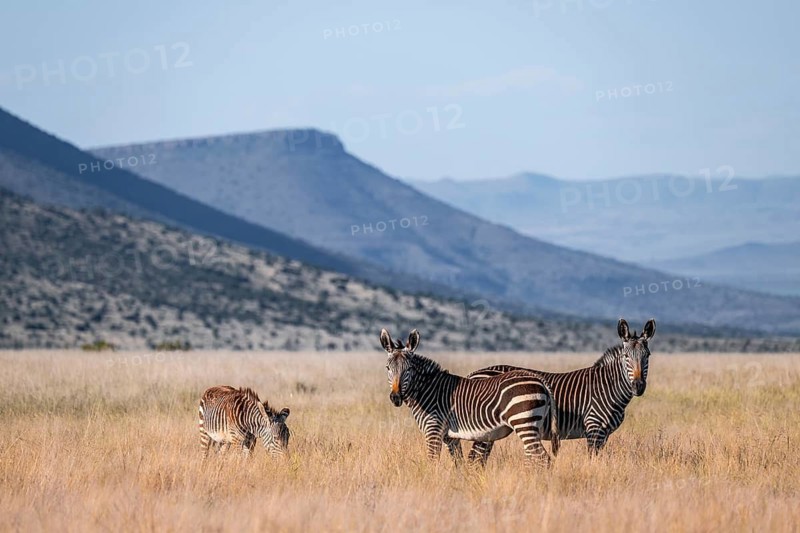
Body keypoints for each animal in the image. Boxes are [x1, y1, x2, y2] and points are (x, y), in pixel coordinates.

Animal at [380, 328, 558, 468]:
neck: (427, 390)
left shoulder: (433, 430)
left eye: (409, 369)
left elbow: (432, 462)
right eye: (388, 368)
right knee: (535, 457)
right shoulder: (450, 437)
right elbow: (459, 464)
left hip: (523, 422)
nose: (396, 397)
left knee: (543, 458)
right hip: (532, 425)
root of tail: (539, 379)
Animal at [464, 318, 656, 463]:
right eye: (626, 356)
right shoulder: (594, 428)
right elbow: (592, 460)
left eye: (647, 356)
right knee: (475, 458)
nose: (638, 386)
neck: (608, 387)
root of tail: (472, 374)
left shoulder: (605, 433)